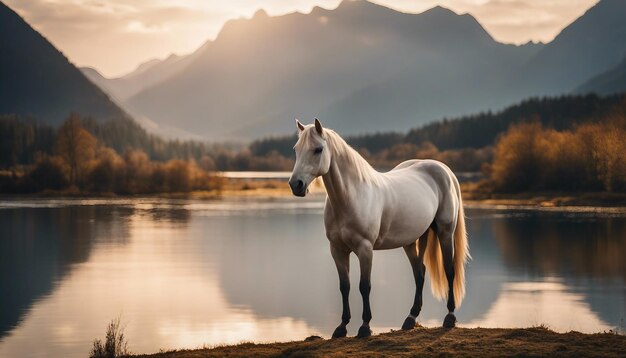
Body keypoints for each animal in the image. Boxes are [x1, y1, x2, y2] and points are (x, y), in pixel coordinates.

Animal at [288, 119, 468, 338]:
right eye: (296, 149)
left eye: (318, 149)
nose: (296, 185)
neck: (352, 196)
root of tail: (444, 169)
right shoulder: (337, 250)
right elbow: (344, 286)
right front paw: (341, 327)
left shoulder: (365, 249)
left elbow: (364, 286)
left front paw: (365, 327)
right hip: (412, 240)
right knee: (420, 273)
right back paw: (410, 318)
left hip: (445, 232)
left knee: (449, 270)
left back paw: (449, 317)